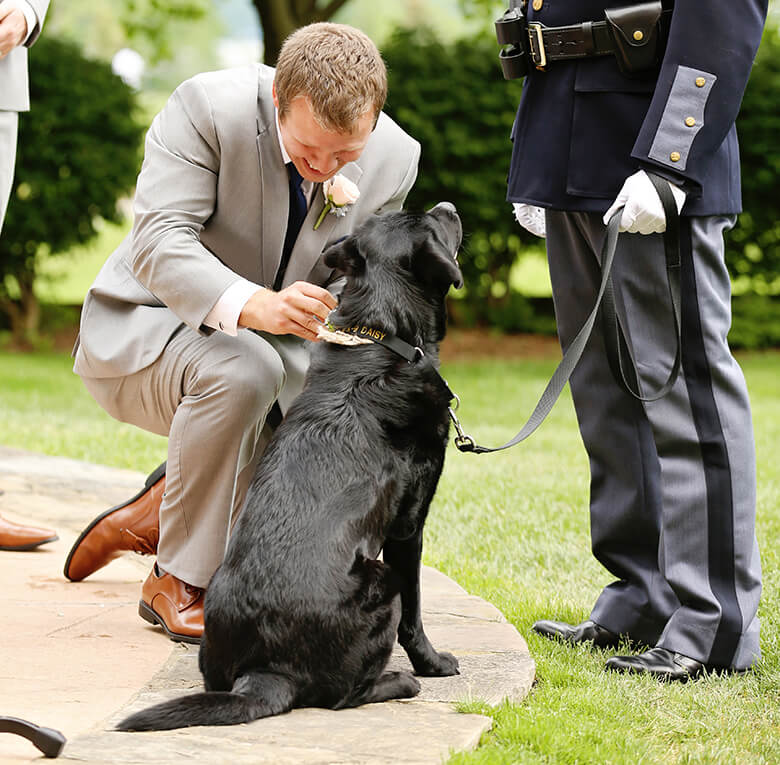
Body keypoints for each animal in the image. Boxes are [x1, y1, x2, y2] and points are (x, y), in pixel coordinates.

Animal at [117, 201, 464, 728]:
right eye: (432, 223)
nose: (448, 206)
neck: (383, 339)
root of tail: (264, 671)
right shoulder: (409, 526)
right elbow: (416, 614)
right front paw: (434, 662)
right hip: (382, 581)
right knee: (343, 694)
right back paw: (400, 681)